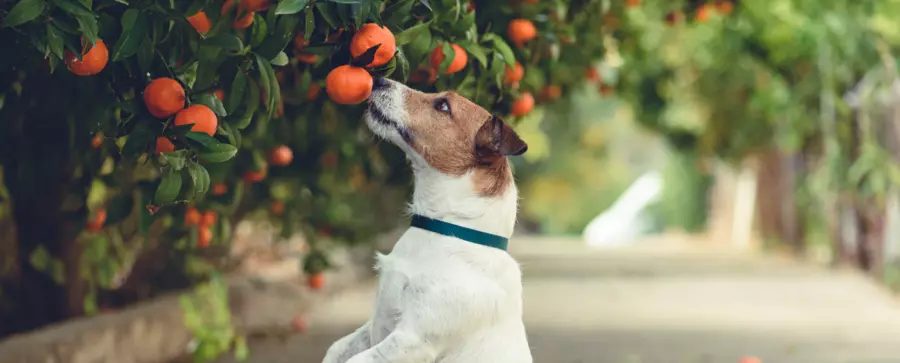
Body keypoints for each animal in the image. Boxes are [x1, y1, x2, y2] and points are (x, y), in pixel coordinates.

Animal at [324, 77, 532, 363]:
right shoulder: (373, 326)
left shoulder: (412, 341)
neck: (447, 229)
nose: (378, 80)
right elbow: (336, 349)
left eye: (443, 106)